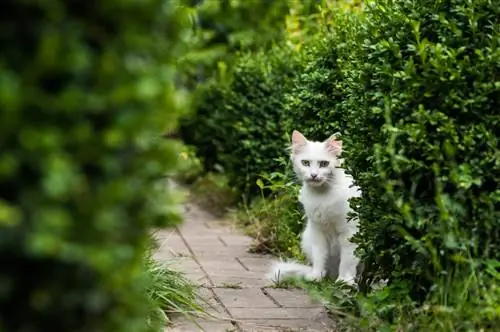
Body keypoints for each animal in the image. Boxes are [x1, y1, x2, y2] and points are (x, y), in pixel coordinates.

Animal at [268, 130, 362, 286]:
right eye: (305, 163)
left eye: (324, 164)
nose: (313, 175)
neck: (322, 196)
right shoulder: (318, 231)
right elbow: (320, 257)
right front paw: (316, 276)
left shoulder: (349, 232)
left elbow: (347, 261)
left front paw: (344, 281)